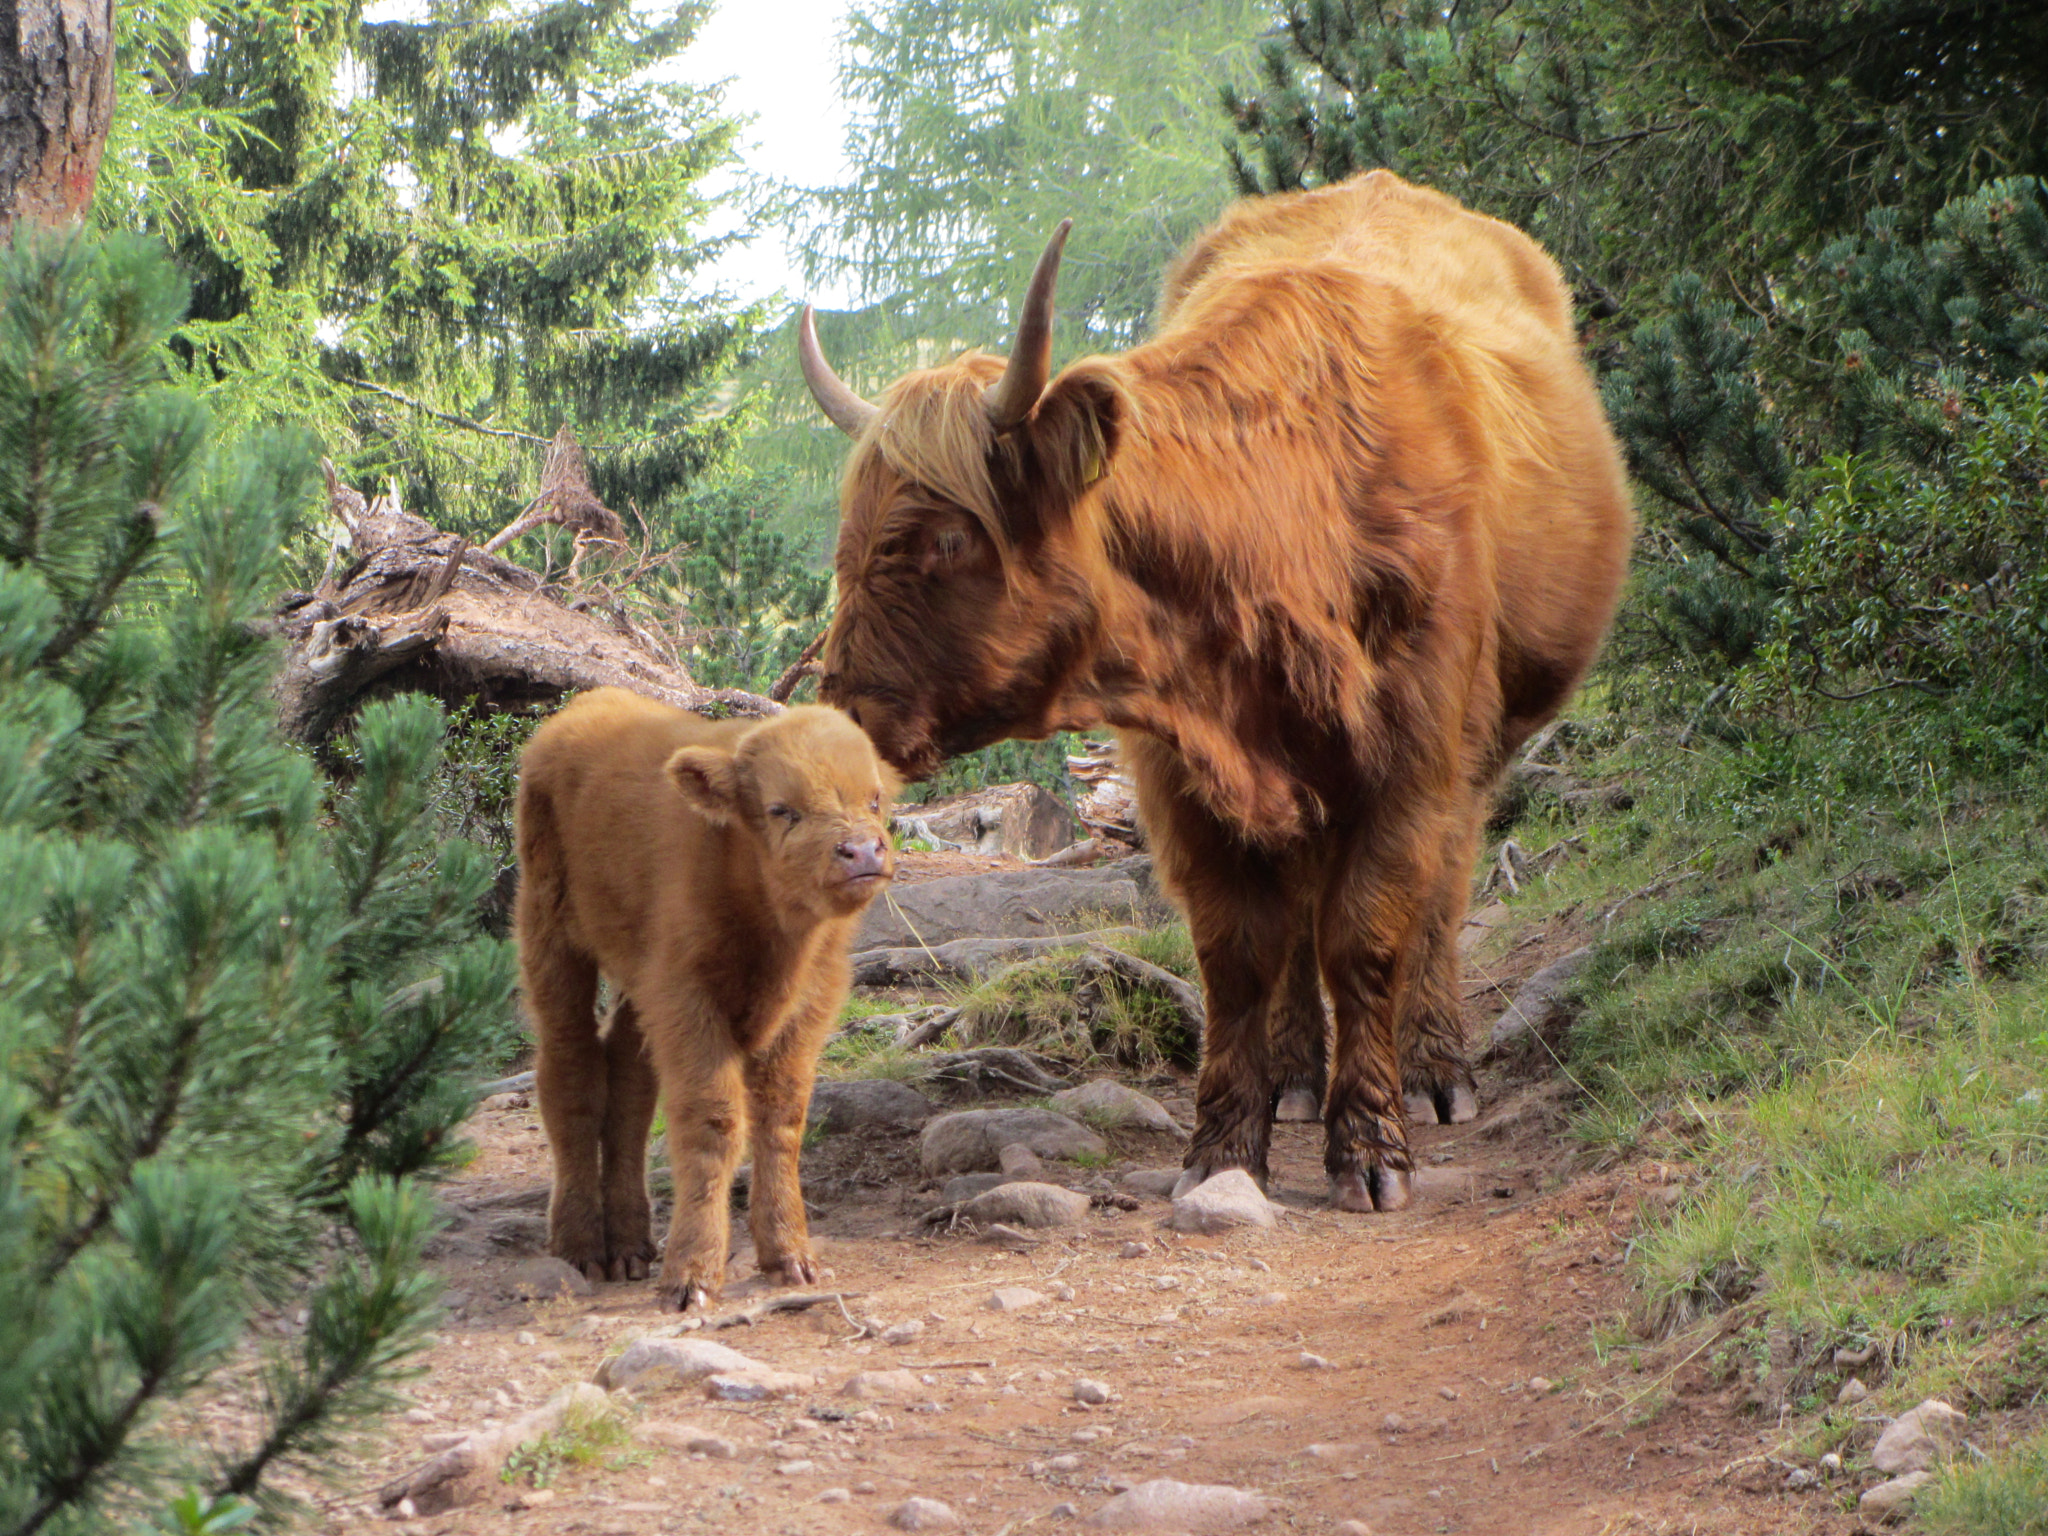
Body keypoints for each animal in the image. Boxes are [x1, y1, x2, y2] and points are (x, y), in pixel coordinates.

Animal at [516, 692, 892, 1302]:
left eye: (875, 798)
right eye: (781, 809)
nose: (861, 851)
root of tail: (588, 704)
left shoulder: (810, 1001)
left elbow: (781, 1117)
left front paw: (790, 1256)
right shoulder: (686, 999)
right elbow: (713, 1121)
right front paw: (691, 1276)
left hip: (637, 981)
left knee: (629, 1082)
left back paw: (628, 1246)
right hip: (550, 934)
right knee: (569, 1067)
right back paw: (582, 1248)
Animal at [798, 171, 1630, 1212]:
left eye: (945, 539)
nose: (842, 713)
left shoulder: (1415, 755)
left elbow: (1369, 936)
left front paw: (1373, 1149)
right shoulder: (1183, 776)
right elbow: (1237, 954)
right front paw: (1227, 1146)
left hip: (1476, 746)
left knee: (1436, 894)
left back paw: (1434, 1070)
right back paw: (1297, 1077)